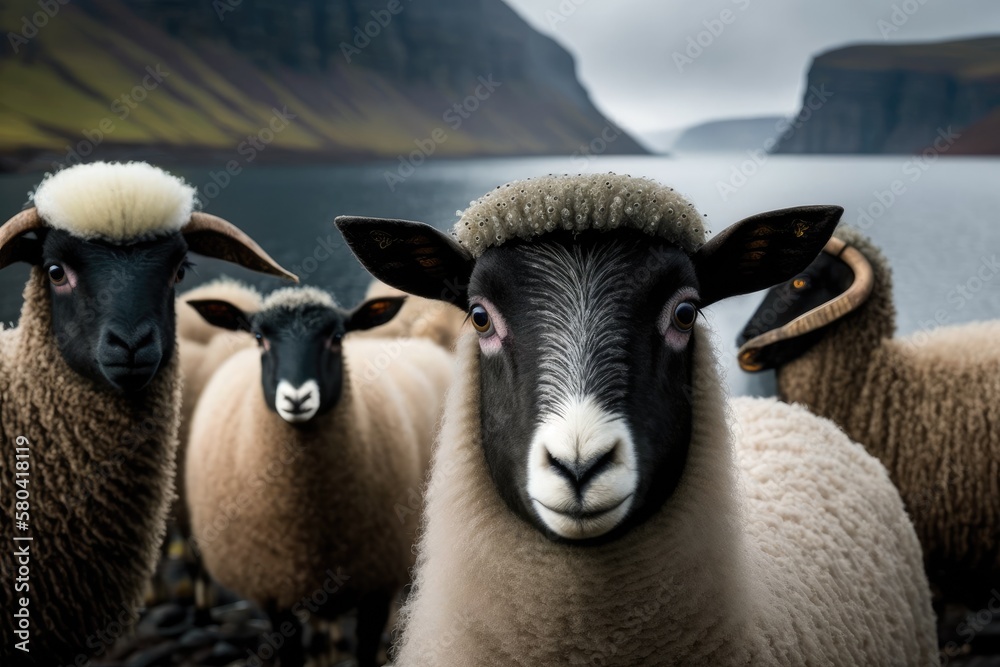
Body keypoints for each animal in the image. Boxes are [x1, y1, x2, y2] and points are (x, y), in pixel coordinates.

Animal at [184, 286, 454, 667]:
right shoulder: (276, 591)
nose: (297, 398)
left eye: (336, 337)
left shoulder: (377, 582)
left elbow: (366, 651)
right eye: (259, 338)